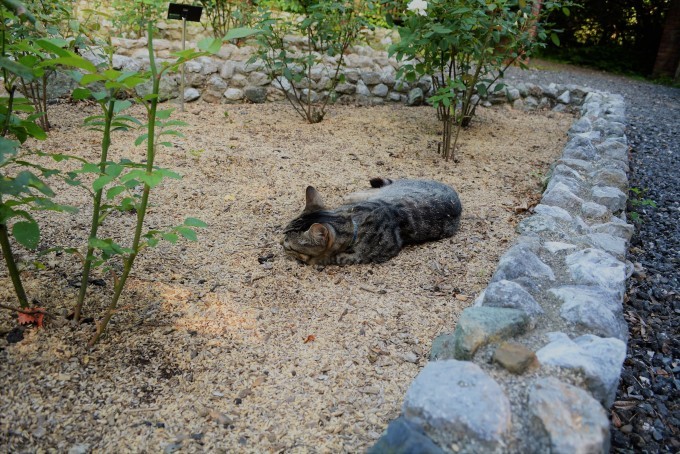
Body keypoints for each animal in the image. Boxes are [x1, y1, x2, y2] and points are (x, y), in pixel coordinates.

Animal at [282, 176, 462, 264]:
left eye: (289, 247)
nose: (280, 244)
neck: (354, 222)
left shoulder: (371, 255)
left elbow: (336, 258)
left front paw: (314, 259)